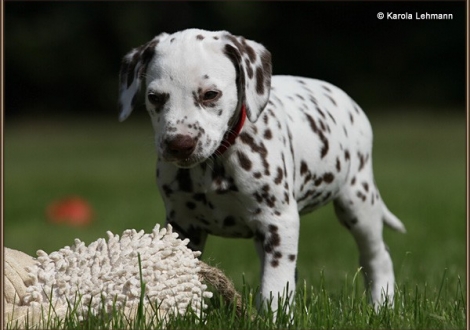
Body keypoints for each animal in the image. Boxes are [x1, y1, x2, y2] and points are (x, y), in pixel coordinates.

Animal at [116, 27, 404, 312]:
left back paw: (382, 304)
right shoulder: (183, 225)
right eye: (154, 97)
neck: (214, 165)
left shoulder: (280, 221)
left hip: (358, 202)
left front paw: (273, 316)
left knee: (377, 256)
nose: (179, 144)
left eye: (210, 94)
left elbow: (273, 286)